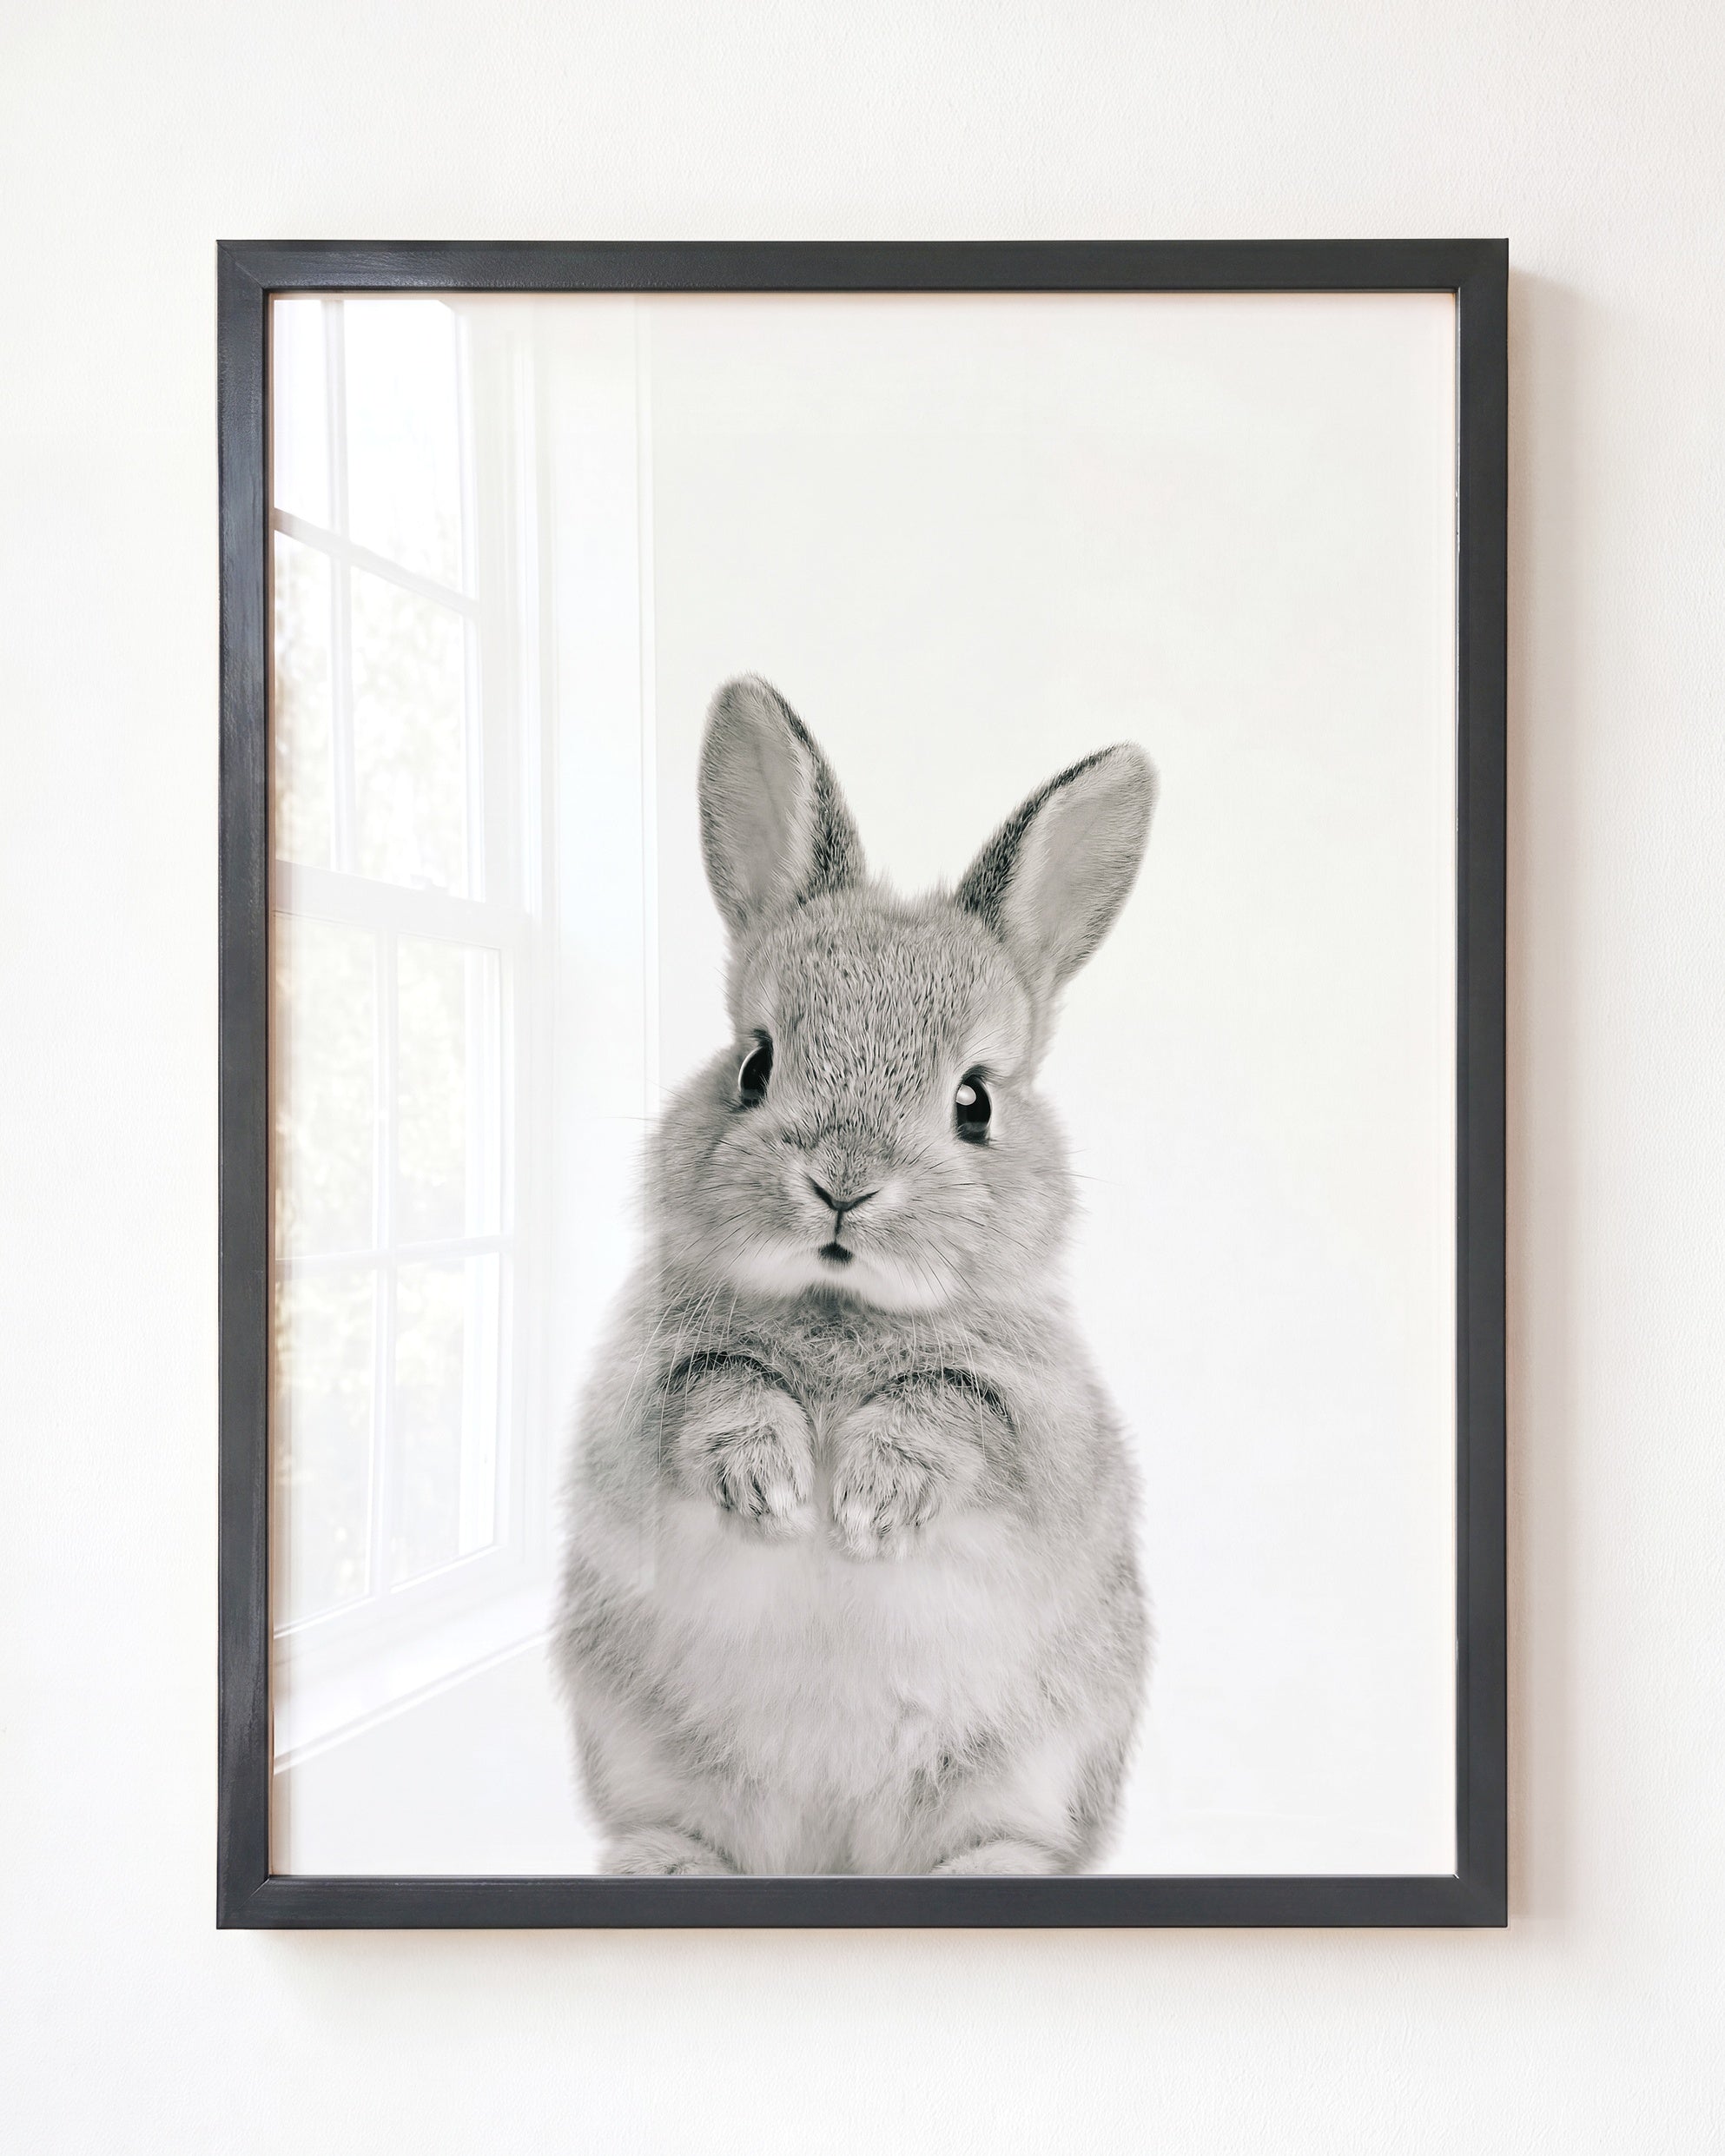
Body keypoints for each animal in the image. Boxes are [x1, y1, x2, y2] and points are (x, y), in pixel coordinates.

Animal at [553, 675, 1155, 1876]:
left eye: (975, 1100)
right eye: (754, 1063)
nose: (843, 1185)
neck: (842, 1307)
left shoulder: (1041, 1428)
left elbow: (952, 1410)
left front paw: (869, 1500)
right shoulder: (644, 1391)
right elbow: (717, 1387)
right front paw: (775, 1485)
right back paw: (668, 1866)